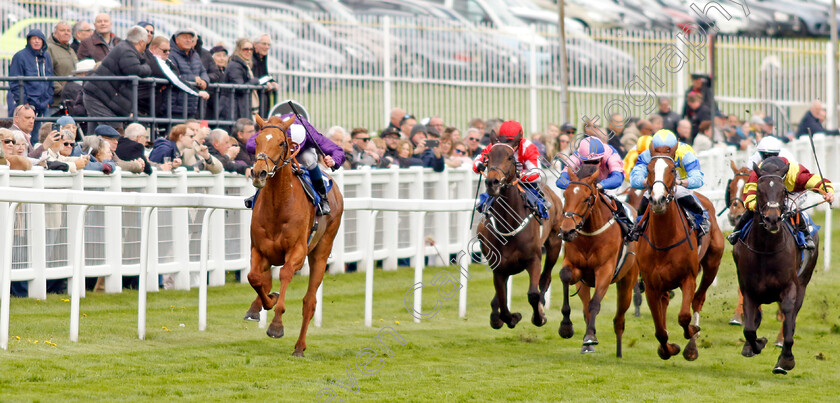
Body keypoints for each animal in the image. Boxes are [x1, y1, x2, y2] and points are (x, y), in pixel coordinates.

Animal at [244, 115, 342, 358]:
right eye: (257, 140)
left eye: (281, 142)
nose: (259, 173)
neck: (278, 205)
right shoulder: (259, 249)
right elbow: (254, 277)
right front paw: (264, 303)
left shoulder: (297, 251)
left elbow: (286, 274)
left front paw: (276, 325)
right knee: (265, 279)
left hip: (321, 251)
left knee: (309, 301)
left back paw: (299, 346)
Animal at [476, 144, 560, 330]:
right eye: (488, 157)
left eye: (510, 157)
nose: (492, 182)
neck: (509, 222)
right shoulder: (499, 267)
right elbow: (502, 301)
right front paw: (510, 317)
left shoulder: (533, 259)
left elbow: (533, 294)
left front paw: (539, 317)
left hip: (554, 243)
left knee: (546, 277)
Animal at [556, 164, 636, 356]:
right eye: (565, 195)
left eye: (586, 199)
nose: (567, 231)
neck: (590, 234)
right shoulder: (575, 267)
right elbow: (565, 276)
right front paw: (566, 327)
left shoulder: (605, 270)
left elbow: (595, 304)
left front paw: (590, 336)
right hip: (584, 283)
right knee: (585, 307)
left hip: (628, 281)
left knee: (619, 318)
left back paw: (618, 351)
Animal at [636, 147, 720, 362]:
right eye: (648, 169)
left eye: (673, 170)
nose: (657, 200)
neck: (664, 241)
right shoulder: (651, 286)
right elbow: (660, 330)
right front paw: (668, 349)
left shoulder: (688, 277)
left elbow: (684, 316)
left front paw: (691, 333)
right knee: (666, 301)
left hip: (712, 264)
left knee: (698, 299)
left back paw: (692, 345)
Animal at [736, 159, 820, 376]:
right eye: (759, 190)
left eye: (783, 190)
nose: (772, 219)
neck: (767, 249)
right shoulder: (749, 289)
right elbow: (749, 329)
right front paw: (756, 344)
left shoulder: (790, 287)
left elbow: (788, 317)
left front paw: (786, 360)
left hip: (803, 282)